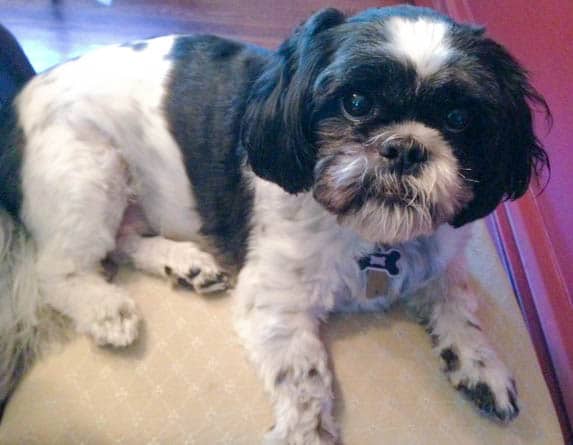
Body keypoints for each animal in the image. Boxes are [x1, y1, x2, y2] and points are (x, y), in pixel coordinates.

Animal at [0, 4, 548, 444]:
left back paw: (186, 264)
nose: (407, 147)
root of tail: (19, 98)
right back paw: (106, 308)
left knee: (123, 240)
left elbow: (457, 303)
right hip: (90, 169)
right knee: (60, 269)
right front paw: (306, 431)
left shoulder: (442, 256)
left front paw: (480, 362)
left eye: (458, 118)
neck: (371, 236)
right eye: (356, 103)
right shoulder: (275, 299)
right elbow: (304, 376)